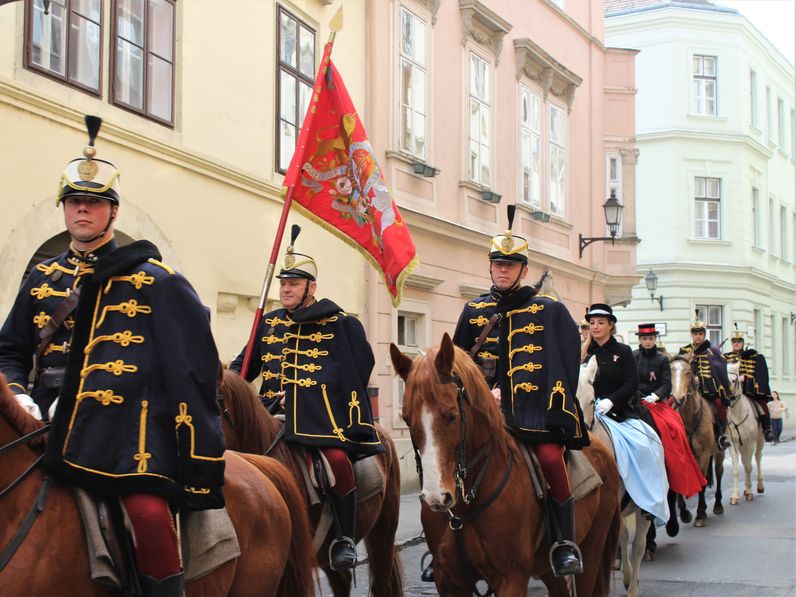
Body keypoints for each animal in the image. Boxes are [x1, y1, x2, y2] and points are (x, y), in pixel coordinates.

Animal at [390, 336, 620, 596]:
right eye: (407, 418)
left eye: (451, 415)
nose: (436, 497)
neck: (466, 507)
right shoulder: (449, 580)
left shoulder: (511, 578)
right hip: (549, 569)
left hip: (591, 553)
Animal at [668, 354, 724, 528]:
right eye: (670, 371)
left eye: (688, 372)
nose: (678, 398)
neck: (689, 419)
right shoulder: (681, 455)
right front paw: (685, 513)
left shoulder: (704, 454)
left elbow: (703, 483)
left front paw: (700, 514)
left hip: (719, 452)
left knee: (718, 472)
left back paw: (717, 505)